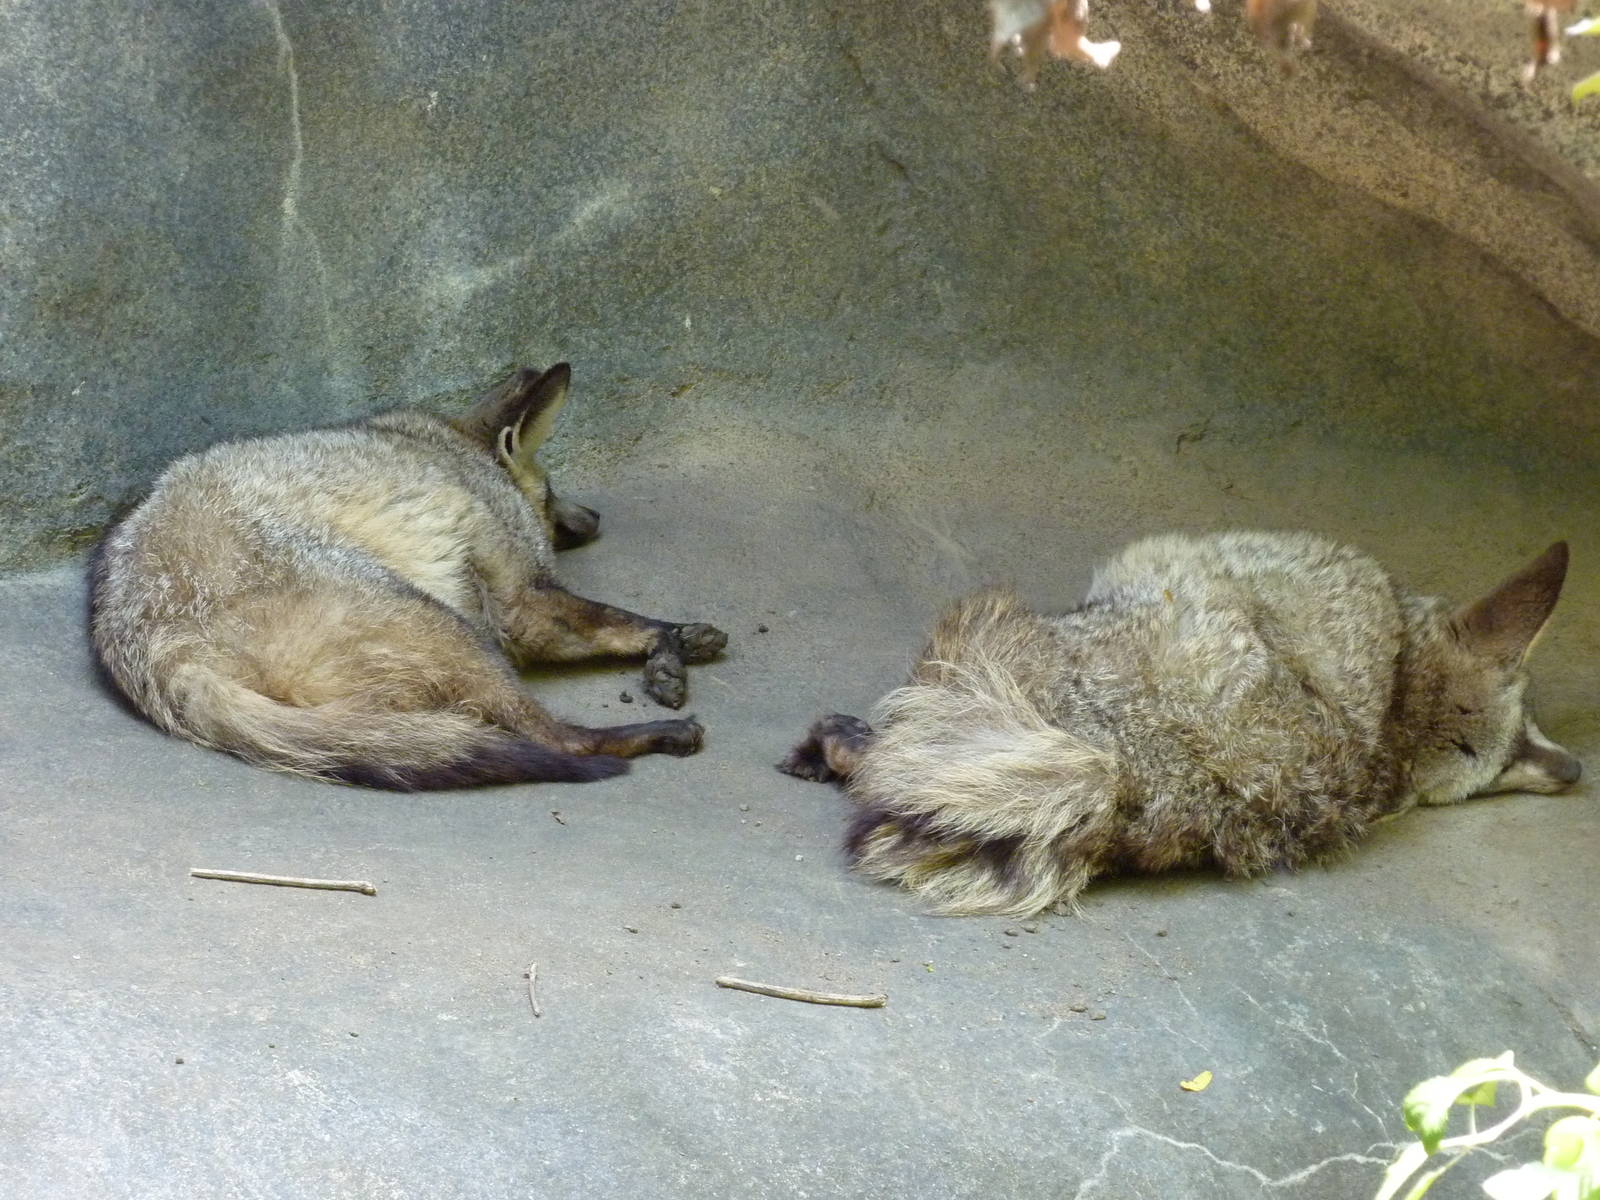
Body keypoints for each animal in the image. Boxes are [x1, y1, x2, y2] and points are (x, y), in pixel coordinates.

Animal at [90, 363, 728, 790]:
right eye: (550, 493)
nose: (595, 519)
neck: (450, 447)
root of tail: (148, 639)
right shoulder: (522, 602)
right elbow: (624, 620)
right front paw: (669, 648)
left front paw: (684, 641)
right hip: (451, 629)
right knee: (559, 738)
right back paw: (651, 736)